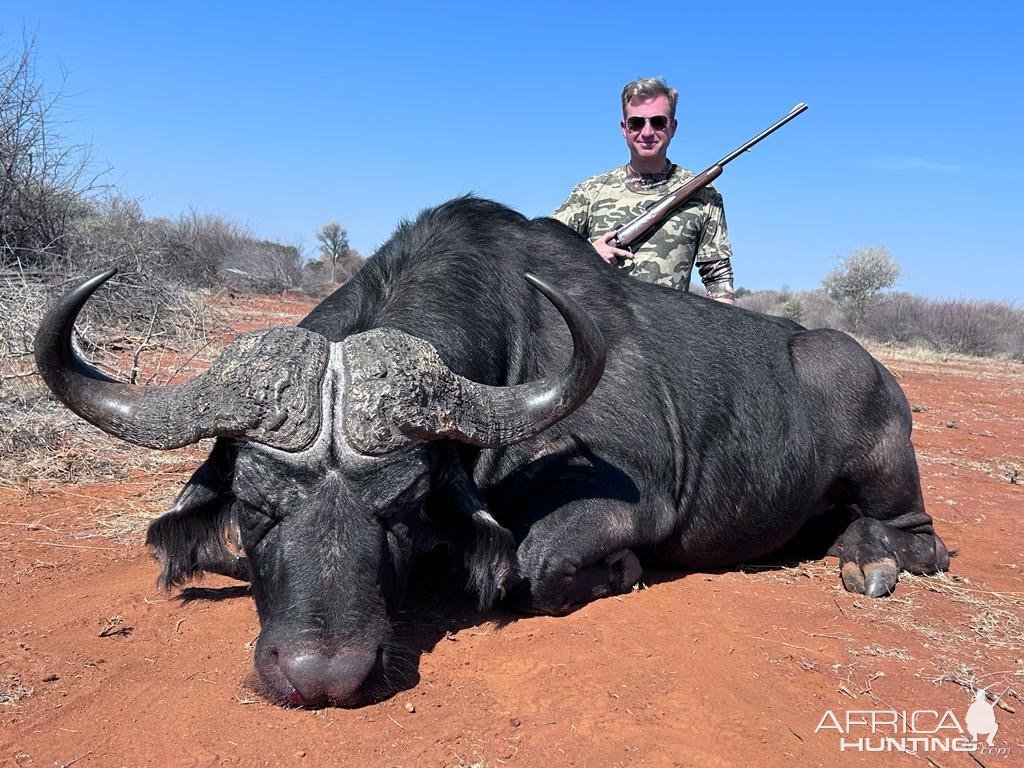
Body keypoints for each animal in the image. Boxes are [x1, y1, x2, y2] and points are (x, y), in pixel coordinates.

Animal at [36, 196, 946, 708]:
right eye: (257, 507)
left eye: (402, 510)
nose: (322, 677)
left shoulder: (625, 507)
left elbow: (534, 567)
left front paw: (621, 573)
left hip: (881, 453)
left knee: (919, 537)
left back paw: (871, 559)